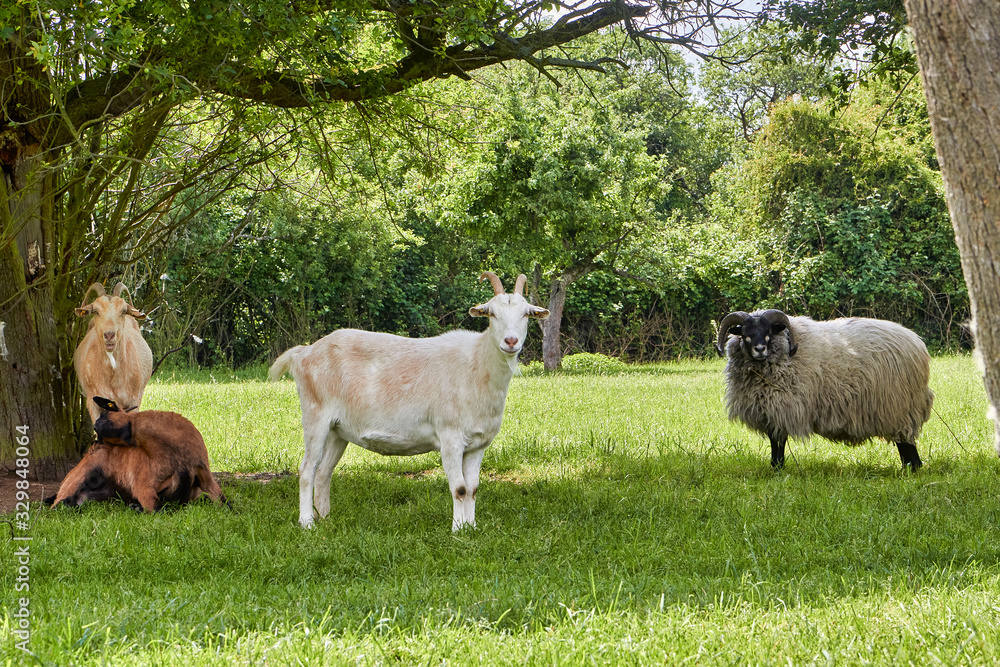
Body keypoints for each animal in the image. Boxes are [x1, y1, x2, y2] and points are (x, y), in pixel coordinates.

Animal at [45, 396, 227, 512]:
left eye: (105, 414)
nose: (95, 430)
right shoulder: (144, 489)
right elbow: (161, 510)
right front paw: (138, 508)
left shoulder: (207, 479)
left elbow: (226, 504)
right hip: (77, 478)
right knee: (58, 505)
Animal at [269, 271, 549, 530]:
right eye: (491, 313)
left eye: (526, 314)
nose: (511, 341)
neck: (477, 365)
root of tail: (303, 353)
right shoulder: (450, 436)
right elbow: (459, 488)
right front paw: (458, 530)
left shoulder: (478, 443)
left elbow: (472, 488)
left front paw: (471, 527)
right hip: (315, 415)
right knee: (307, 470)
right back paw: (307, 522)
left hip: (338, 429)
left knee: (323, 472)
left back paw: (325, 518)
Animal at [716, 309, 934, 470]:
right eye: (744, 333)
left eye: (769, 331)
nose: (760, 349)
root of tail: (917, 343)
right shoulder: (771, 410)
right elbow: (774, 440)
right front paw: (775, 466)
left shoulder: (783, 408)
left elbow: (778, 441)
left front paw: (777, 468)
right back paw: (907, 468)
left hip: (899, 407)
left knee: (906, 442)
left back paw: (911, 469)